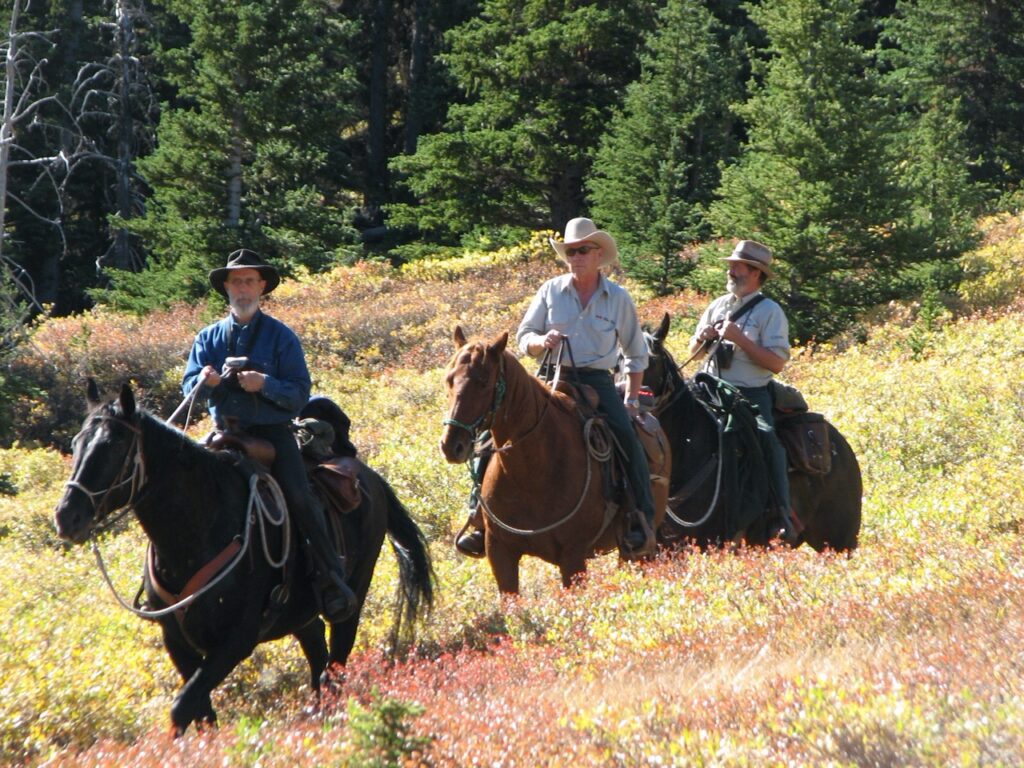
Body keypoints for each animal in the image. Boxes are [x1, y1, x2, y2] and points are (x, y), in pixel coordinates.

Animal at [54, 382, 434, 737]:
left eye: (113, 446)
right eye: (76, 444)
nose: (66, 517)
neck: (195, 533)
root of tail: (368, 474)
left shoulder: (237, 639)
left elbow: (181, 708)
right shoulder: (177, 642)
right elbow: (200, 713)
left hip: (354, 593)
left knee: (336, 660)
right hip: (299, 614)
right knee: (317, 655)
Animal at [442, 327, 630, 593]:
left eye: (484, 382)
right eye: (449, 379)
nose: (451, 446)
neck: (531, 473)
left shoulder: (573, 557)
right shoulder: (499, 551)